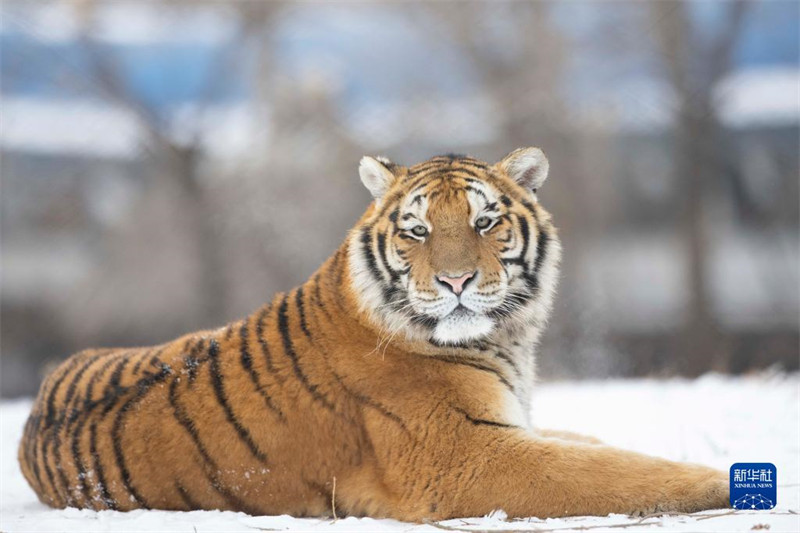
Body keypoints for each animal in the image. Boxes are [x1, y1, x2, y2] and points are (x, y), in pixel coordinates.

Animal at [18, 148, 729, 520]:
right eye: (417, 230)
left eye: (485, 222)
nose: (455, 281)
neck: (504, 340)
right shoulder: (468, 457)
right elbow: (618, 472)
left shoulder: (509, 427)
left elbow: (599, 445)